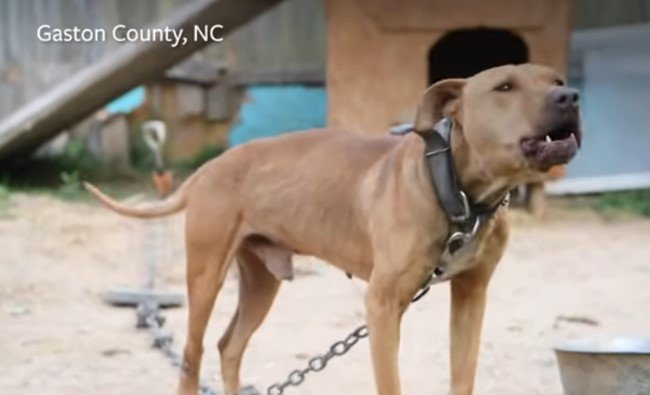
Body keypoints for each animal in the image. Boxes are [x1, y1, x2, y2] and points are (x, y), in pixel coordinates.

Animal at [85, 65, 576, 395]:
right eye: (505, 87)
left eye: (555, 80)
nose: (570, 96)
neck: (461, 193)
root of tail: (209, 167)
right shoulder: (382, 305)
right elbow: (391, 384)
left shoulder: (472, 294)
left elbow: (463, 376)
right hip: (205, 275)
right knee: (193, 354)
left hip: (261, 282)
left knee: (229, 347)